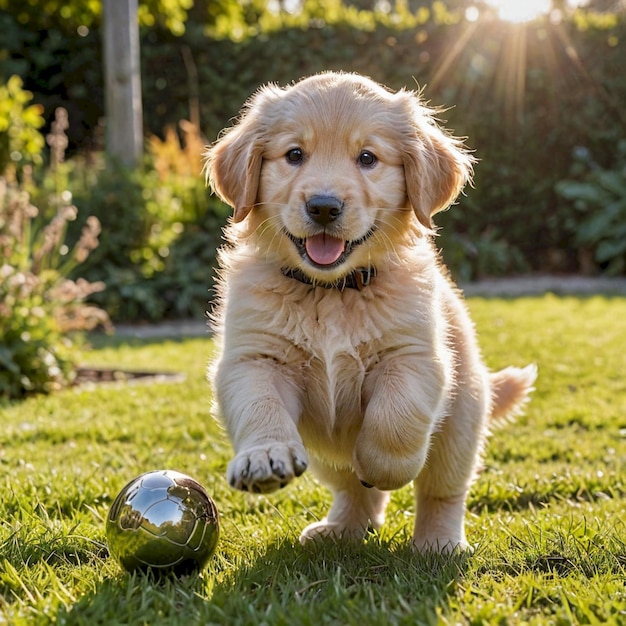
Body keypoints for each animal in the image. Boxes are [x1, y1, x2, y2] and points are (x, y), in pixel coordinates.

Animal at [204, 72, 532, 552]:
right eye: (294, 155)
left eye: (367, 158)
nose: (323, 206)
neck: (331, 292)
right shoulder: (253, 358)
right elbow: (259, 404)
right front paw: (264, 455)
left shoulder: (413, 357)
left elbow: (393, 421)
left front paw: (383, 466)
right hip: (329, 459)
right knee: (352, 490)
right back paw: (341, 529)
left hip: (461, 424)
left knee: (442, 491)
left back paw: (438, 542)